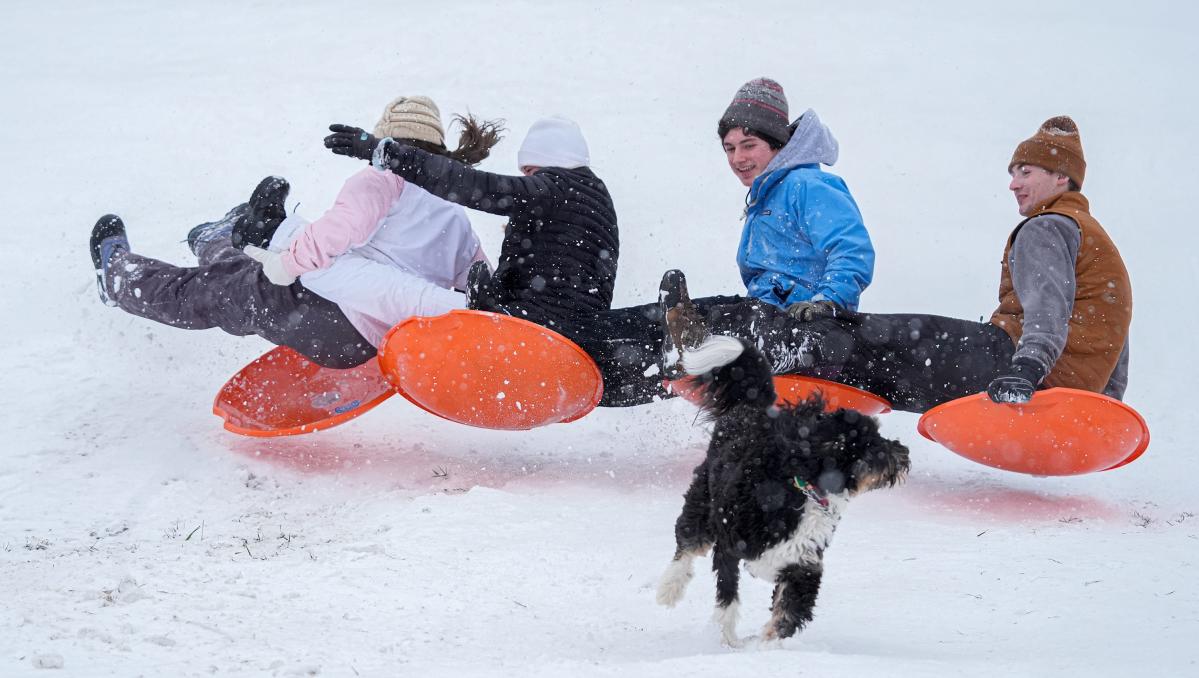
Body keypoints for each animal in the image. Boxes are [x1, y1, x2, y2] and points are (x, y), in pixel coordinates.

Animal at [657, 333, 906, 643]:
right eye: (872, 446)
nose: (905, 453)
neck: (804, 489)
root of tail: (752, 407)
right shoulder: (729, 545)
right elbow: (728, 595)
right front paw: (727, 638)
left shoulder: (804, 563)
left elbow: (787, 613)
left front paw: (766, 643)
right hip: (703, 500)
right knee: (687, 541)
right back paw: (669, 588)